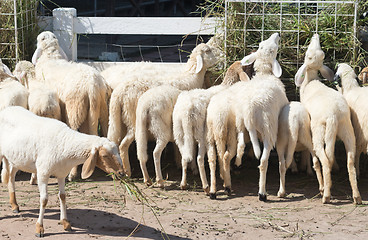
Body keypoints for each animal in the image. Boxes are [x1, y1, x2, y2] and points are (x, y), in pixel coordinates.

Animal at [0, 106, 124, 236]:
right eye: (105, 155)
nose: (121, 173)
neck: (65, 143)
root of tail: (7, 109)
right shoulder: (43, 173)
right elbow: (44, 200)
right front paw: (39, 228)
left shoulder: (61, 174)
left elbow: (63, 196)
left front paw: (66, 223)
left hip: (17, 159)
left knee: (11, 176)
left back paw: (15, 206)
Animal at [32, 31, 110, 181]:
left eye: (40, 39)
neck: (50, 56)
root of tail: (91, 85)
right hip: (102, 108)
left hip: (74, 109)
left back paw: (72, 174)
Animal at [108, 41, 218, 176]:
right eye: (207, 51)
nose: (221, 56)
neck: (190, 78)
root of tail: (119, 93)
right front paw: (191, 167)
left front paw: (179, 162)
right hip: (132, 119)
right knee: (123, 145)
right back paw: (128, 172)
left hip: (119, 119)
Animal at [294, 33, 360, 203]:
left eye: (307, 56)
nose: (315, 35)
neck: (310, 81)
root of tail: (334, 116)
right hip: (347, 129)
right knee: (350, 161)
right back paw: (357, 196)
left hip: (319, 130)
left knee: (324, 159)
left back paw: (326, 194)